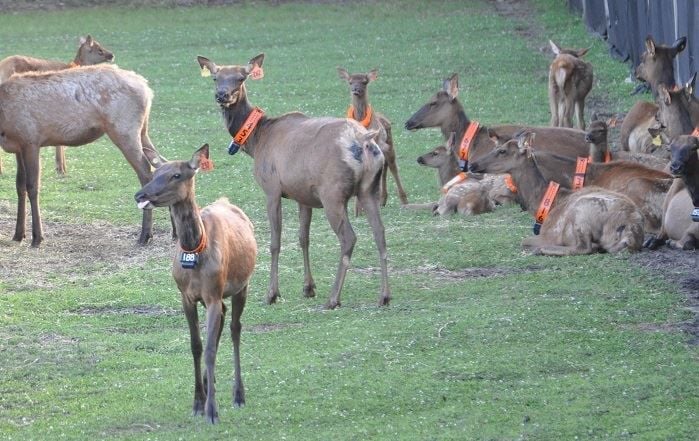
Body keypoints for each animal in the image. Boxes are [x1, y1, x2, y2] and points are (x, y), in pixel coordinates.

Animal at [0, 64, 163, 247]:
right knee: (161, 164)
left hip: (124, 130)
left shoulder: (31, 141)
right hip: (142, 132)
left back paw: (145, 235)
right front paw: (18, 234)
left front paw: (37, 237)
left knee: (146, 171)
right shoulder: (18, 147)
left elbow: (32, 187)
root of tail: (147, 89)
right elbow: (19, 186)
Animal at [135, 144, 257, 424]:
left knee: (235, 328)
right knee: (223, 321)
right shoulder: (186, 297)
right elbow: (197, 346)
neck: (194, 250)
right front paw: (198, 403)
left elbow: (210, 348)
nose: (140, 194)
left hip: (241, 285)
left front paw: (212, 411)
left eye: (177, 175)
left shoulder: (213, 294)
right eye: (155, 172)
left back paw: (238, 395)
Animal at [197, 53, 390, 309]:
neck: (257, 141)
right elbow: (303, 238)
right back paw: (384, 295)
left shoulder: (271, 188)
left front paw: (272, 293)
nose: (222, 95)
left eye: (240, 78)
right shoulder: (303, 195)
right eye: (216, 77)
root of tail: (365, 140)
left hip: (333, 193)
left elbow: (275, 242)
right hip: (370, 188)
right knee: (380, 232)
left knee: (349, 237)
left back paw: (333, 298)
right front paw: (308, 287)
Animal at [337, 67, 408, 210]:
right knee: (384, 167)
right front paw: (358, 208)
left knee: (392, 166)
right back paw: (382, 200)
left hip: (389, 144)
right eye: (350, 82)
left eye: (365, 82)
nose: (355, 90)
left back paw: (404, 201)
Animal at [468, 131, 644, 256]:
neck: (541, 203)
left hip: (582, 212)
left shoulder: (549, 233)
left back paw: (542, 250)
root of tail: (631, 231)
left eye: (502, 151)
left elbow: (524, 240)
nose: (472, 164)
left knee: (585, 247)